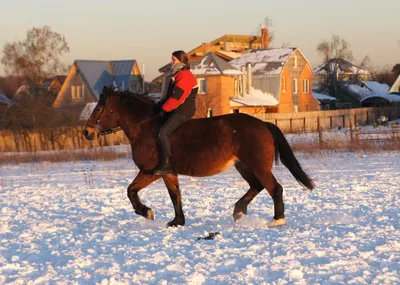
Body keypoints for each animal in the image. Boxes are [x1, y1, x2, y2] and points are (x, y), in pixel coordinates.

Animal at [83, 86, 314, 226]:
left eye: (99, 108)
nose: (87, 132)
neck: (146, 127)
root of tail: (264, 124)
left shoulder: (151, 172)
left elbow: (131, 191)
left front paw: (146, 211)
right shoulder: (168, 173)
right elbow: (175, 196)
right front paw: (177, 221)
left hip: (258, 166)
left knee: (274, 188)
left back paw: (277, 220)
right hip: (243, 166)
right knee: (256, 186)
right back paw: (239, 210)